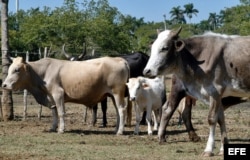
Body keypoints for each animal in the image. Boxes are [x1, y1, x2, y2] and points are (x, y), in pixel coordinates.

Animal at [144, 26, 250, 157]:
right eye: (152, 47)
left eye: (165, 48)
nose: (147, 71)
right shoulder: (216, 94)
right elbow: (220, 119)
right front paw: (219, 149)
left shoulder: (215, 92)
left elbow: (213, 119)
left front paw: (209, 149)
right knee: (171, 109)